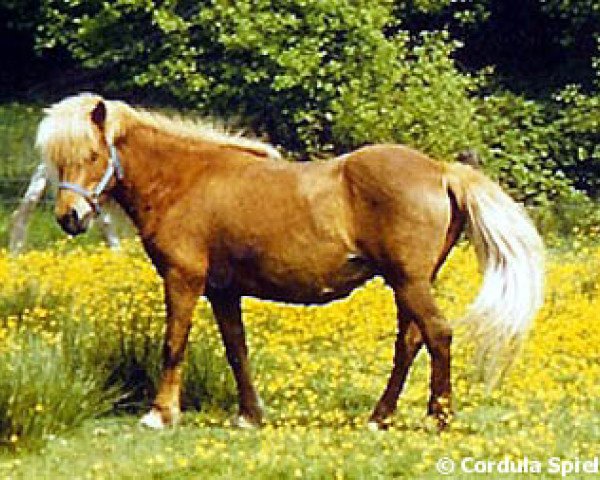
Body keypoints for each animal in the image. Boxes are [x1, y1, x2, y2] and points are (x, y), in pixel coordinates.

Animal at [36, 92, 544, 430]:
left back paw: (439, 417)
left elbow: (173, 345)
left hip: (410, 281)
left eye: (91, 154)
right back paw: (380, 416)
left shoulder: (184, 280)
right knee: (410, 342)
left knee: (437, 335)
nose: (70, 217)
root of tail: (442, 170)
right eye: (59, 161)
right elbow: (236, 349)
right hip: (410, 284)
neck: (186, 180)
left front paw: (160, 415)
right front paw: (249, 415)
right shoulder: (222, 290)